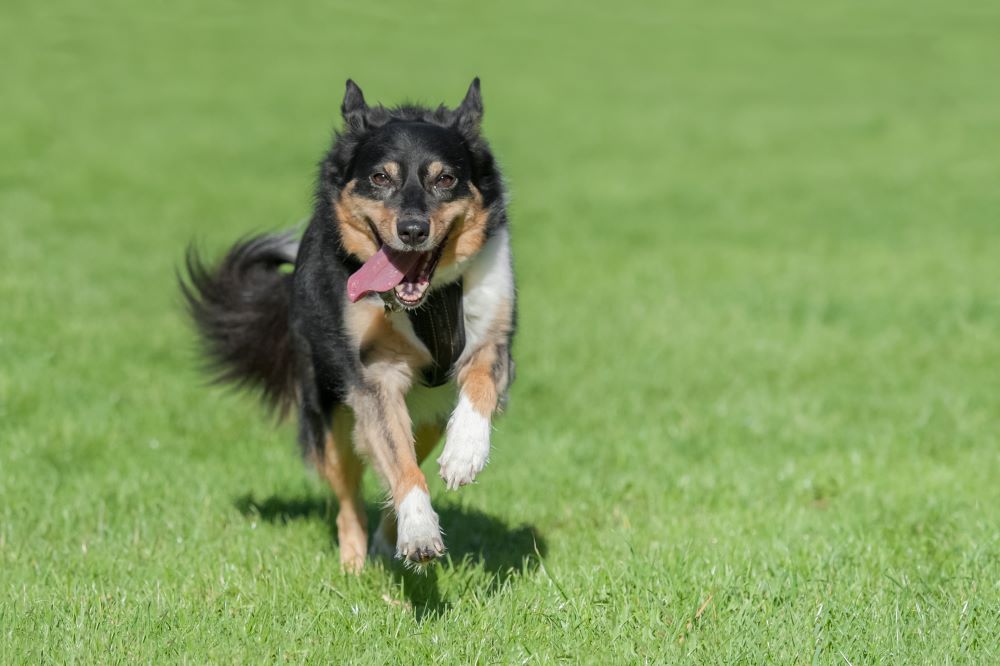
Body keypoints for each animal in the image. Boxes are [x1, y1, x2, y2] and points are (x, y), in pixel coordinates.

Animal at [181, 76, 520, 564]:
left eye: (445, 179)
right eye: (380, 177)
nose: (412, 230)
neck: (426, 303)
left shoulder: (494, 340)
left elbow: (479, 388)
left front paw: (465, 455)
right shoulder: (374, 376)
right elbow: (398, 462)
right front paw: (419, 529)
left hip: (428, 413)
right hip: (330, 416)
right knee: (349, 495)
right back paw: (355, 563)